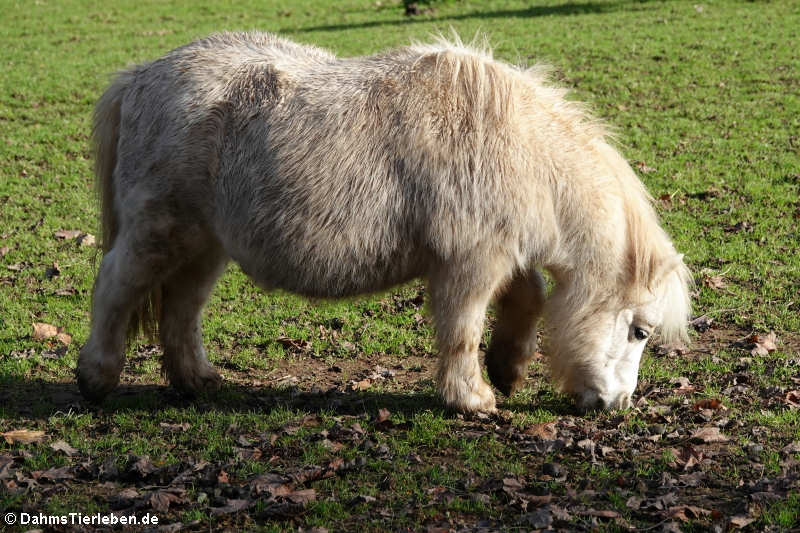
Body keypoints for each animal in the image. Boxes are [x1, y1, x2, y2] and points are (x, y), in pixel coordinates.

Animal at [79, 32, 692, 412]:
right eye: (640, 331)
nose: (615, 406)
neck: (523, 150)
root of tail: (138, 78)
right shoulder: (469, 265)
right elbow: (463, 328)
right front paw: (472, 398)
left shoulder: (501, 251)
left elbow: (530, 297)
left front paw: (509, 369)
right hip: (159, 232)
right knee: (116, 287)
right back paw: (97, 377)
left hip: (205, 245)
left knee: (182, 308)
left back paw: (197, 380)